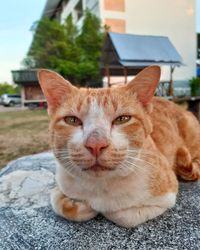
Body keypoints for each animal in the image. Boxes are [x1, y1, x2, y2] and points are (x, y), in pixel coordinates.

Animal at [38, 67, 200, 229]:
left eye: (122, 119)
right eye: (72, 120)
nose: (96, 144)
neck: (99, 187)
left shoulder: (167, 195)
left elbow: (124, 215)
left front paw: (99, 209)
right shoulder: (61, 180)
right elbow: (57, 201)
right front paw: (77, 204)